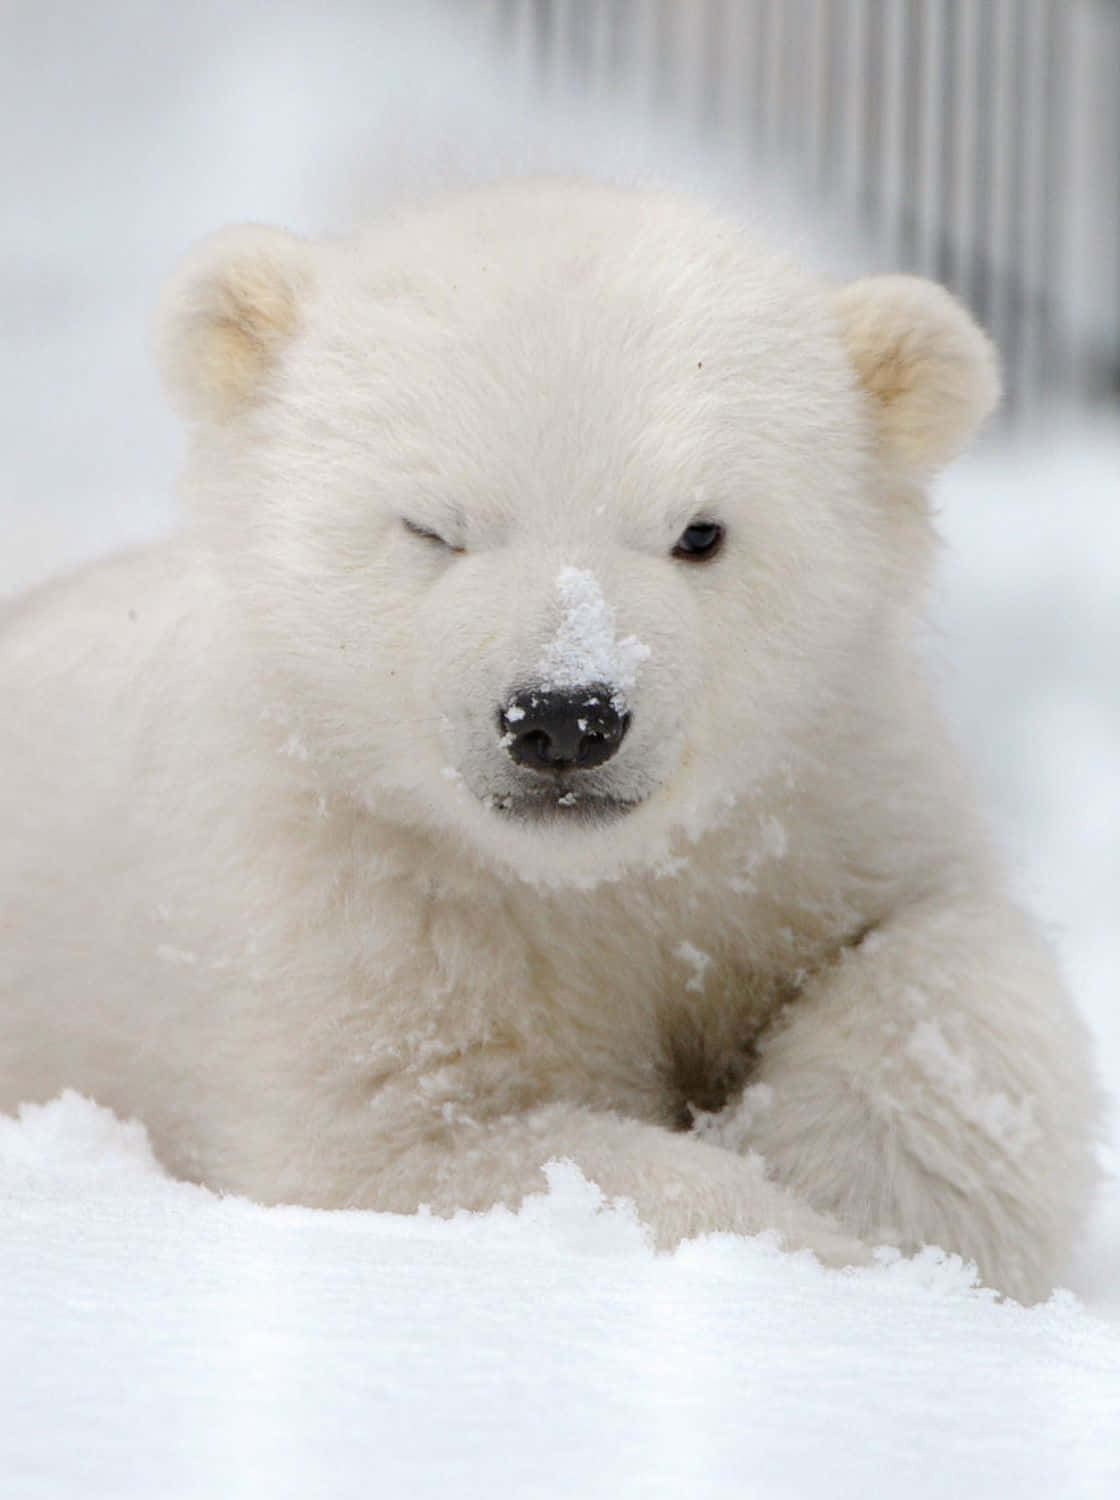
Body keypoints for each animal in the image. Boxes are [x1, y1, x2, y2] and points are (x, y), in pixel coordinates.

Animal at [0, 177, 1099, 1302]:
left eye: (700, 532)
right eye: (433, 526)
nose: (566, 718)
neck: (578, 883)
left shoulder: (823, 800)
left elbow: (941, 968)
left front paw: (852, 1195)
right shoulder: (345, 900)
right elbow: (414, 1150)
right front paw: (809, 1250)